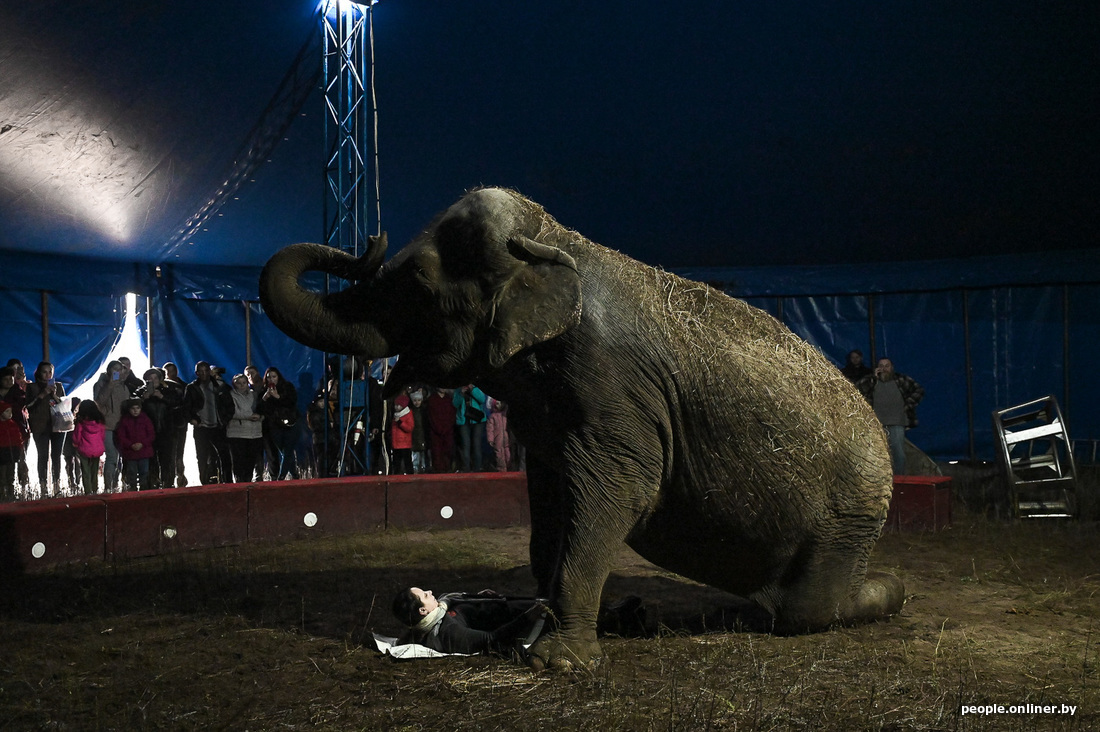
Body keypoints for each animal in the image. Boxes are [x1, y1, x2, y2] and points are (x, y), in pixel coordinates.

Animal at [257, 187, 902, 669]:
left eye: (415, 276)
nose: (367, 241)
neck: (557, 241)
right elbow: (551, 499)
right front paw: (547, 624)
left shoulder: (612, 385)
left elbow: (620, 492)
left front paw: (558, 662)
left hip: (844, 522)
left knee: (810, 610)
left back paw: (888, 593)